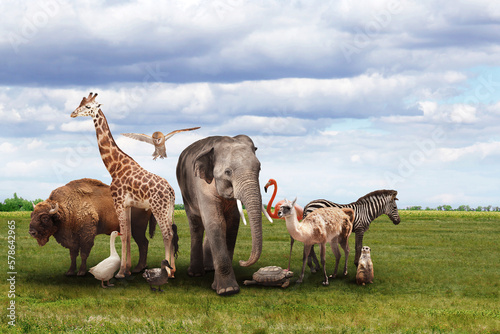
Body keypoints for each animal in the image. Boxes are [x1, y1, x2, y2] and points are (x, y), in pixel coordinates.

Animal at [29, 179, 158, 276]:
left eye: (45, 217)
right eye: (32, 215)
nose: (31, 232)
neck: (65, 210)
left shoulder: (86, 236)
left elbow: (83, 253)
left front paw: (81, 272)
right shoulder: (72, 239)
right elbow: (73, 254)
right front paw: (70, 272)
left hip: (138, 229)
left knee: (143, 244)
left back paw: (137, 268)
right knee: (144, 244)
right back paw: (141, 267)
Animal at [71, 92, 177, 278]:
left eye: (88, 107)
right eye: (80, 104)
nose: (73, 113)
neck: (114, 167)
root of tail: (171, 191)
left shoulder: (118, 201)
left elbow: (123, 236)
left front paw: (120, 272)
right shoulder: (127, 205)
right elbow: (126, 235)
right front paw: (126, 270)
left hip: (159, 208)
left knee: (167, 234)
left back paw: (168, 272)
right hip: (169, 209)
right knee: (171, 233)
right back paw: (172, 271)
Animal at [177, 134, 264, 296]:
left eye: (259, 169)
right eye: (228, 172)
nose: (242, 262)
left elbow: (231, 224)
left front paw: (219, 286)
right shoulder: (202, 185)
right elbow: (216, 222)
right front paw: (228, 290)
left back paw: (209, 268)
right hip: (185, 192)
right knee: (196, 225)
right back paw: (196, 273)